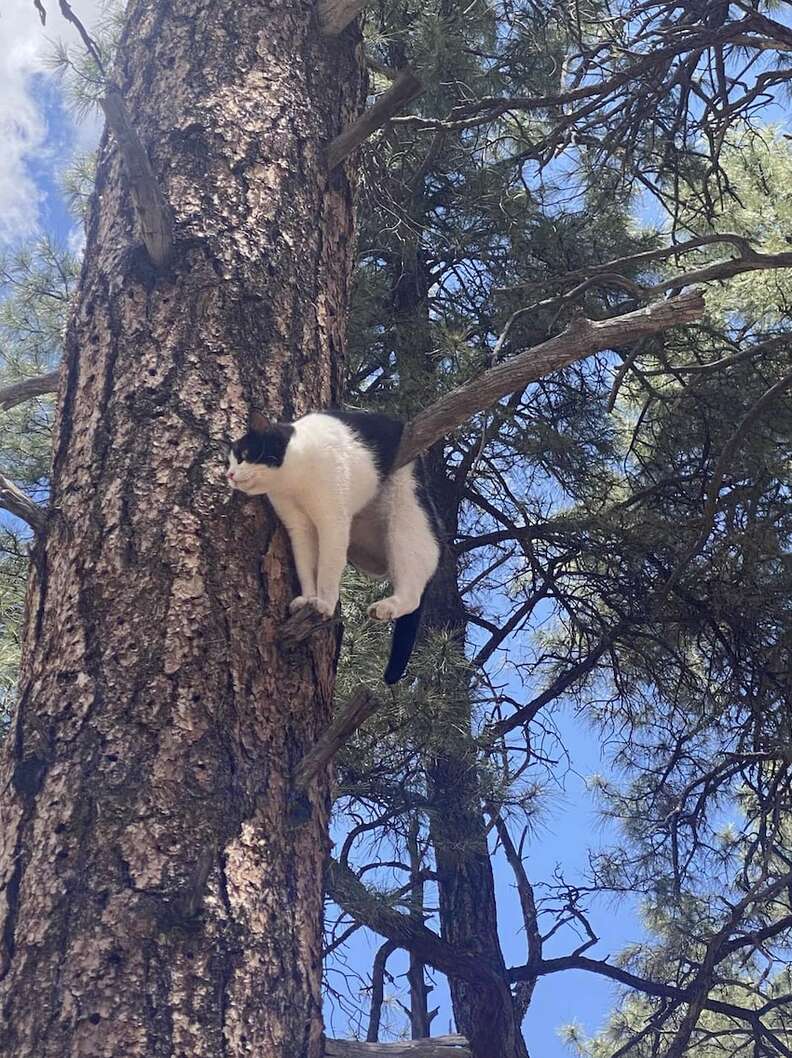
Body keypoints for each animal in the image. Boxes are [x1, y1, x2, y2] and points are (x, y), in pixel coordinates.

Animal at [225, 408, 441, 681]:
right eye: (229, 462)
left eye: (243, 456)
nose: (229, 475)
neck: (293, 480)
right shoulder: (299, 528)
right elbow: (306, 567)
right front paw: (308, 598)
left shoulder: (333, 522)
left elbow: (328, 570)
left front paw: (325, 605)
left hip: (406, 517)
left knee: (415, 588)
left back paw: (386, 607)